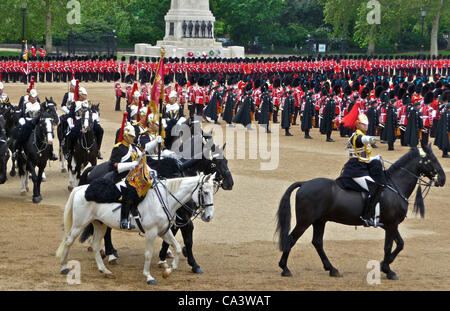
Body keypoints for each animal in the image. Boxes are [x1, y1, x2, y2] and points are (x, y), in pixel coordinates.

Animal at [55, 173, 215, 286]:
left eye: (213, 191)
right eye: (206, 192)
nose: (208, 216)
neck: (163, 200)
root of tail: (80, 189)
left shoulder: (164, 231)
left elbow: (177, 248)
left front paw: (168, 270)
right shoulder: (151, 233)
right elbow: (148, 254)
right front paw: (149, 277)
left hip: (100, 224)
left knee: (94, 245)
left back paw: (105, 271)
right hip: (79, 224)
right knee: (69, 241)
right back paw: (63, 267)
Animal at [276, 145, 444, 282]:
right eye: (432, 159)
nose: (443, 179)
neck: (395, 186)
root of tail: (304, 183)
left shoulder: (390, 225)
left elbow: (400, 244)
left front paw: (384, 265)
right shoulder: (391, 224)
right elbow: (388, 246)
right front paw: (388, 270)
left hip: (320, 221)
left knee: (317, 242)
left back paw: (332, 269)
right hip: (305, 221)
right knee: (291, 239)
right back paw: (285, 268)